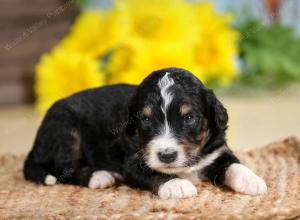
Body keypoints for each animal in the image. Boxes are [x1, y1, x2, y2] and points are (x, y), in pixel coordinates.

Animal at [24, 67, 268, 199]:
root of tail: (35, 143)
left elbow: (233, 165)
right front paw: (177, 185)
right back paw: (100, 176)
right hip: (66, 128)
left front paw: (253, 181)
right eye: (146, 120)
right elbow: (154, 173)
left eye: (189, 118)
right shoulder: (132, 162)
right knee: (63, 168)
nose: (167, 156)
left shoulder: (217, 150)